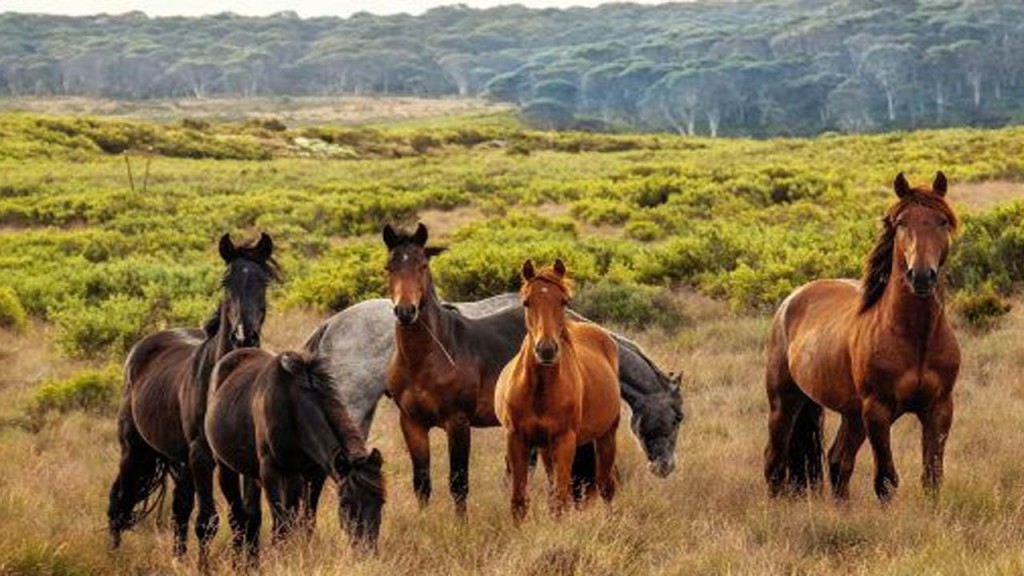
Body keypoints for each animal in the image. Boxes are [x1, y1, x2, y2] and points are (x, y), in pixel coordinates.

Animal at [107, 229, 276, 565]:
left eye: (263, 281)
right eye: (226, 281)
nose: (243, 336)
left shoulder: (240, 459)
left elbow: (248, 516)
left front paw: (247, 564)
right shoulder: (202, 456)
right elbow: (209, 520)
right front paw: (205, 567)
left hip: (178, 461)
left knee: (179, 509)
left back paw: (178, 559)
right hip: (135, 450)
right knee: (121, 498)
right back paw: (114, 554)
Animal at [205, 344, 385, 557]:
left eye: (381, 501)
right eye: (345, 503)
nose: (367, 550)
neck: (292, 406)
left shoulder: (313, 473)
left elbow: (305, 521)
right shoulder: (270, 472)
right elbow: (280, 523)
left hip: (268, 474)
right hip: (226, 467)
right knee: (238, 516)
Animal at [493, 258, 618, 518]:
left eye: (564, 301)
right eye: (526, 302)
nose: (546, 350)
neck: (540, 390)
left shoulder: (564, 440)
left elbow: (560, 499)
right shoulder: (517, 439)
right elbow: (519, 500)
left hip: (606, 436)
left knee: (606, 486)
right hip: (545, 448)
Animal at [765, 170, 962, 498]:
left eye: (942, 221)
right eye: (901, 222)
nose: (921, 276)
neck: (916, 338)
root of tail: (792, 299)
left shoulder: (939, 409)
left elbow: (932, 478)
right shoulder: (878, 412)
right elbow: (886, 481)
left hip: (852, 414)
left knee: (837, 462)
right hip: (785, 403)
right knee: (774, 463)